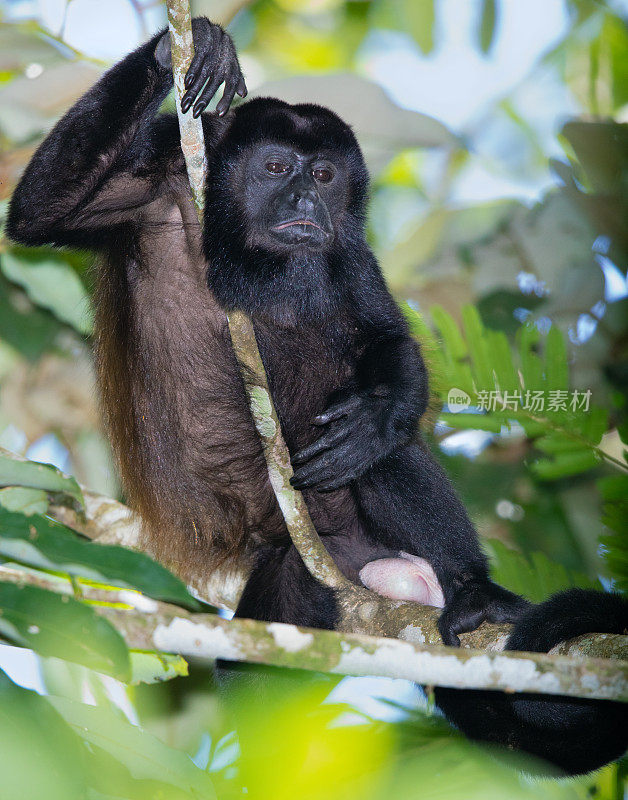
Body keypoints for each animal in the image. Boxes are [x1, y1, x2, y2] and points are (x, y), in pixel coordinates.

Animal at [6, 15, 628, 772]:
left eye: (325, 176)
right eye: (278, 168)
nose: (306, 202)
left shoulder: (350, 250)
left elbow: (387, 342)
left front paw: (377, 418)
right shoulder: (155, 181)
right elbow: (39, 211)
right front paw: (184, 46)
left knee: (385, 459)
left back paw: (471, 588)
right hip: (294, 576)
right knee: (250, 669)